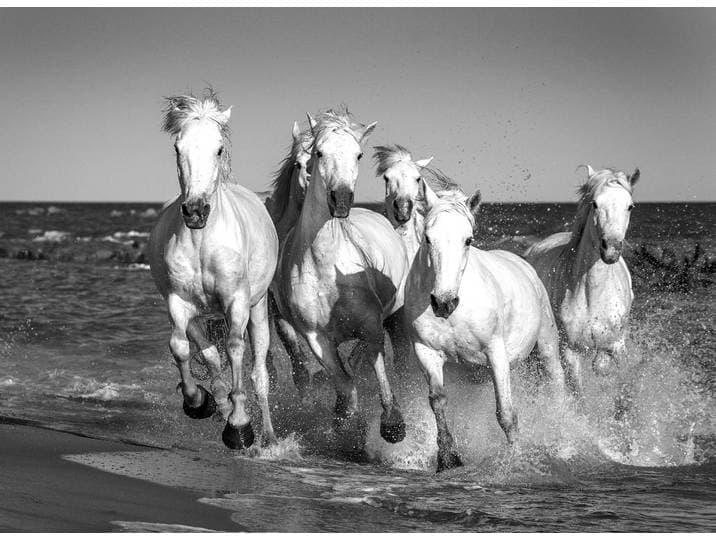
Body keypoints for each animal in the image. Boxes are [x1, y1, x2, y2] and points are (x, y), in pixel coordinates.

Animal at [148, 89, 279, 450]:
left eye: (218, 148)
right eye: (177, 147)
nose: (195, 211)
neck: (202, 241)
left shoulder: (236, 302)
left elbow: (235, 349)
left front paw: (240, 427)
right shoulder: (178, 302)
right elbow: (180, 348)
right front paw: (197, 401)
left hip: (257, 309)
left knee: (258, 372)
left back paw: (268, 437)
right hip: (198, 314)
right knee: (209, 355)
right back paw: (217, 404)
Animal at [270, 108, 411, 449]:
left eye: (358, 155)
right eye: (319, 153)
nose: (342, 200)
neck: (325, 266)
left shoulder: (371, 325)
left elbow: (376, 367)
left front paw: (393, 425)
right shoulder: (316, 337)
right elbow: (345, 386)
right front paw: (343, 423)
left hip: (395, 318)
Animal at [403, 175, 567, 472]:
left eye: (468, 239)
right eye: (428, 238)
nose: (443, 302)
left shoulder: (495, 353)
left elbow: (506, 414)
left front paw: (514, 460)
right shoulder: (427, 352)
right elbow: (438, 402)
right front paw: (448, 459)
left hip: (547, 345)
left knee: (556, 382)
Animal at [524, 166, 640, 390]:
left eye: (630, 206)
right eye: (595, 203)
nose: (611, 249)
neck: (593, 296)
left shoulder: (618, 344)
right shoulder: (570, 351)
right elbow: (578, 390)